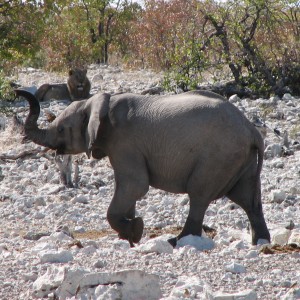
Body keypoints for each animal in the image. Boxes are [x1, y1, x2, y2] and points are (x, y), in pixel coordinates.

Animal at [15, 89, 270, 248]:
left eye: (61, 130)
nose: (16, 92)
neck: (100, 102)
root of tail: (252, 130)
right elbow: (129, 190)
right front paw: (128, 233)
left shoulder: (125, 143)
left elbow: (135, 186)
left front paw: (135, 230)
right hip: (240, 159)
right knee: (248, 200)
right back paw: (260, 242)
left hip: (217, 157)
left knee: (199, 194)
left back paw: (176, 241)